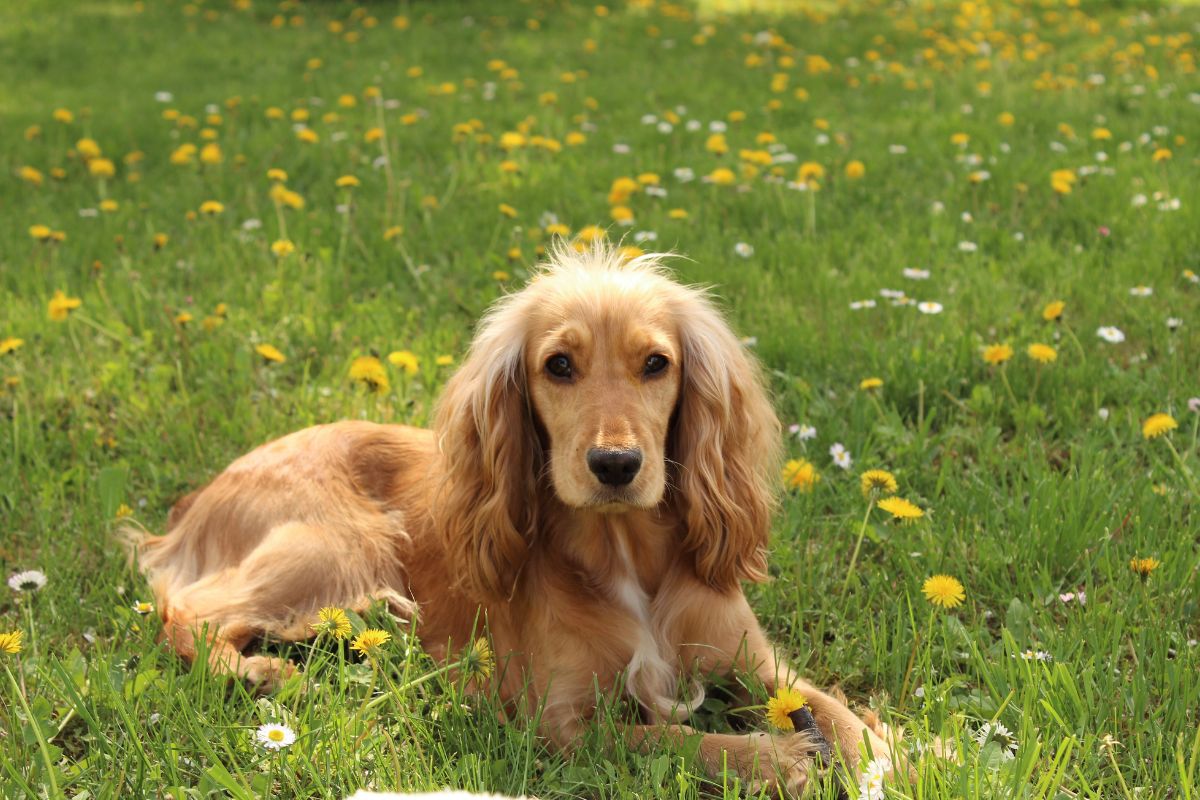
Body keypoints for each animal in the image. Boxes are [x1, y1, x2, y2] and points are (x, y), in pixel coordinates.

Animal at [136, 244, 897, 796]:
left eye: (657, 363)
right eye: (557, 365)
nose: (616, 464)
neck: (626, 557)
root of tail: (198, 499)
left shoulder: (754, 661)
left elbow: (829, 706)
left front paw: (885, 754)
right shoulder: (558, 723)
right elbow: (670, 739)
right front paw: (775, 759)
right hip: (338, 543)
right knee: (189, 614)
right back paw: (259, 672)